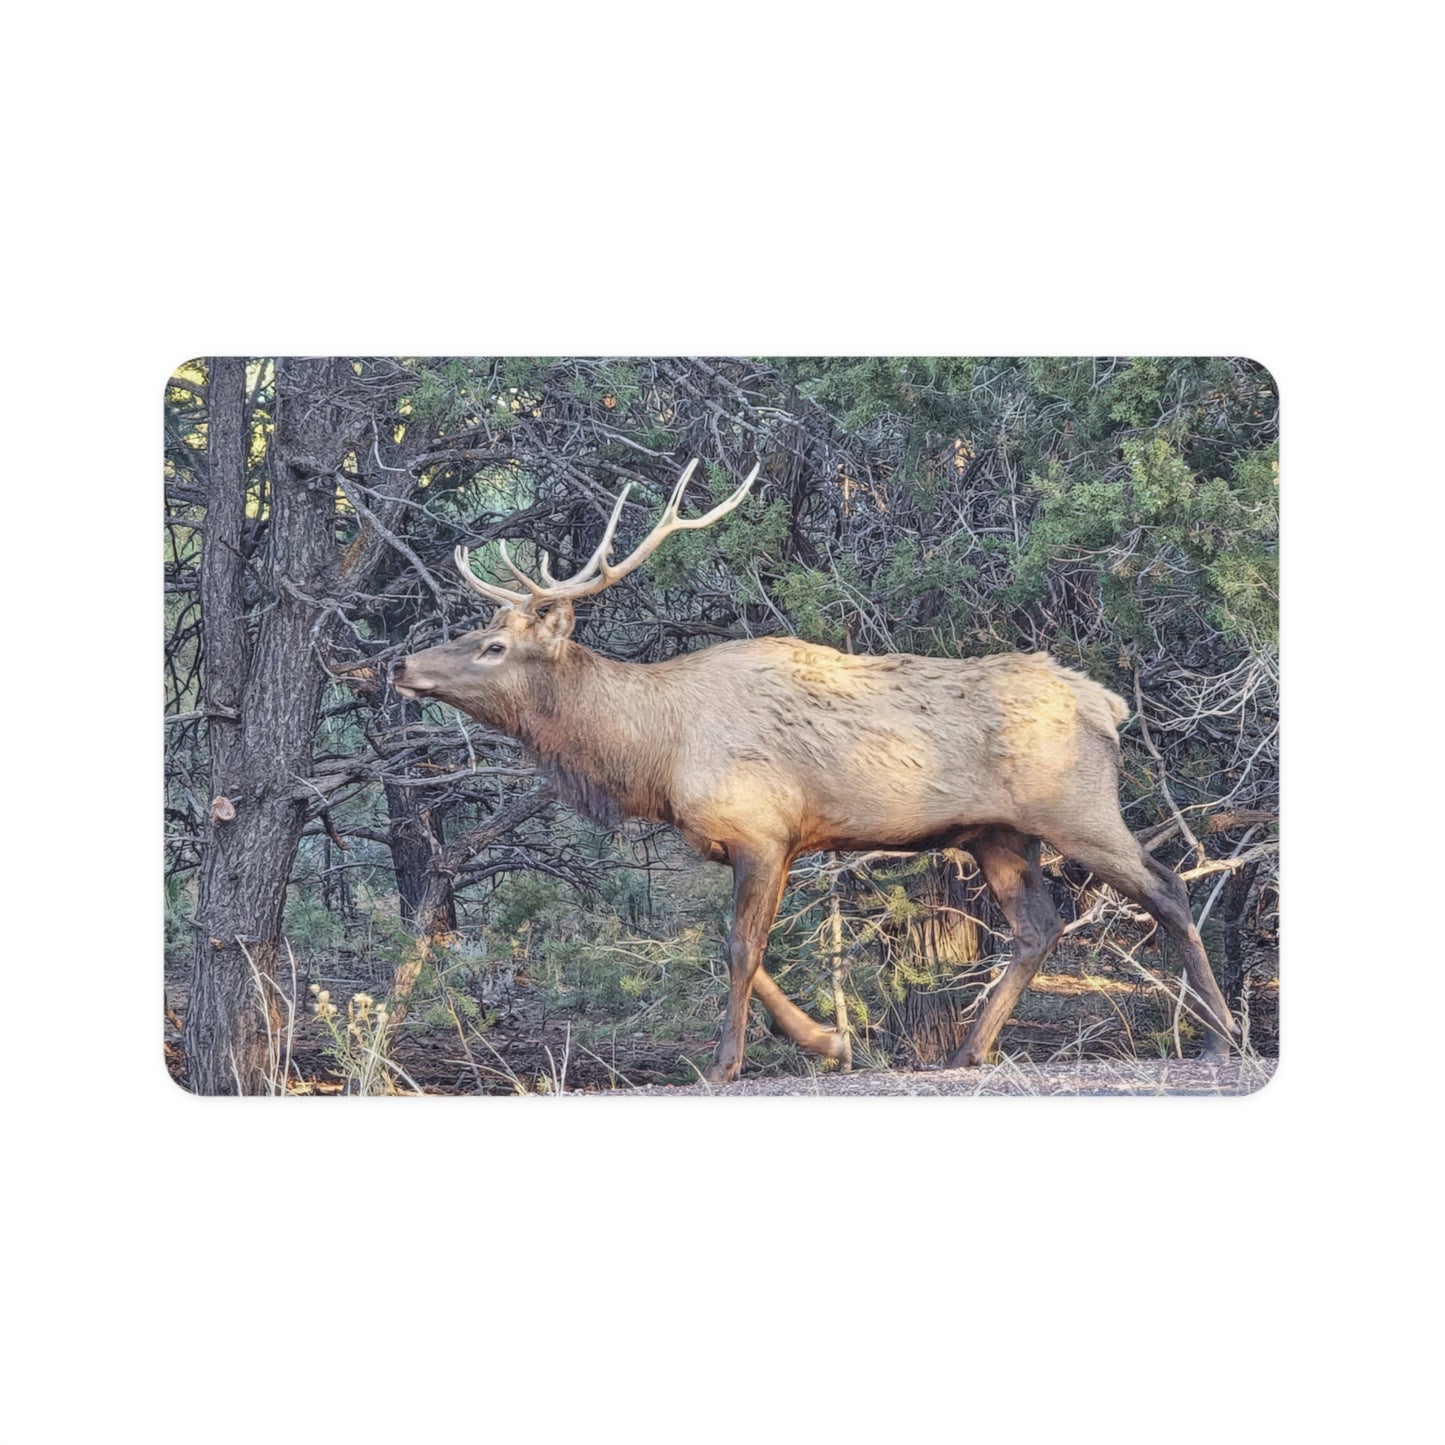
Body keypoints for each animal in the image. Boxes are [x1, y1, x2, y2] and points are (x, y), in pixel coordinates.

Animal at [393, 460, 1236, 1084]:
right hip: (997, 833)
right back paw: (968, 1050)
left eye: (494, 646)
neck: (654, 756)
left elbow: (739, 947)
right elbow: (749, 949)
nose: (401, 663)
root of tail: (1107, 702)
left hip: (1076, 807)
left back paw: (1219, 1035)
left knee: (1165, 884)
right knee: (1037, 926)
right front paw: (832, 1039)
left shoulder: (761, 829)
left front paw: (726, 1063)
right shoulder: (759, 841)